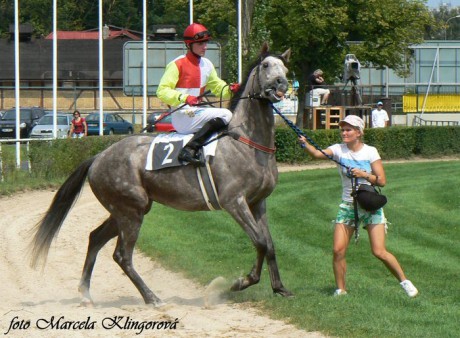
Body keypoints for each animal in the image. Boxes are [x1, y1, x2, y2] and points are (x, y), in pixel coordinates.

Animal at [30, 43, 292, 306]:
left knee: (95, 238)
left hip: (126, 210)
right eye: (266, 65)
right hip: (131, 211)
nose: (282, 84)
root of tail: (97, 157)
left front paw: (280, 288)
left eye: (285, 67)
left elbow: (269, 244)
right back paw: (151, 297)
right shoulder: (234, 202)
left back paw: (86, 293)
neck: (247, 140)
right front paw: (241, 282)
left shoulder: (258, 202)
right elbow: (259, 242)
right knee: (122, 255)